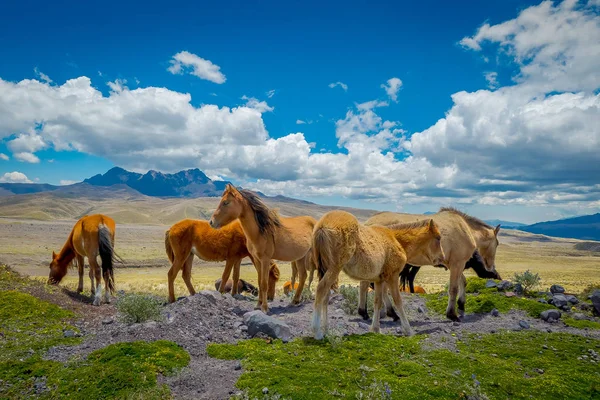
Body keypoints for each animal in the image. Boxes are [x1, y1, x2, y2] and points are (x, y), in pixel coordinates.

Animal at [210, 184, 316, 312]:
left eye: (226, 202)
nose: (211, 222)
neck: (260, 232)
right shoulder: (257, 259)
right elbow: (260, 282)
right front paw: (258, 305)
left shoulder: (265, 259)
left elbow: (264, 283)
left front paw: (265, 308)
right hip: (300, 257)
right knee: (303, 276)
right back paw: (294, 301)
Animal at [310, 209, 446, 340]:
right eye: (438, 238)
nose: (443, 259)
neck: (396, 240)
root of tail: (321, 226)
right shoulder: (393, 276)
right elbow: (398, 300)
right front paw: (408, 330)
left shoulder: (379, 280)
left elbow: (378, 301)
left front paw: (375, 329)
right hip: (334, 268)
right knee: (321, 289)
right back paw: (317, 332)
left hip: (327, 269)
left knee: (325, 296)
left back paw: (326, 329)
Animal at [366, 208, 502, 320]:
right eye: (498, 243)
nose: (491, 267)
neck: (466, 229)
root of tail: (367, 223)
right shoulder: (458, 264)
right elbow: (454, 288)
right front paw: (452, 314)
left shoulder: (454, 265)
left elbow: (462, 282)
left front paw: (461, 306)